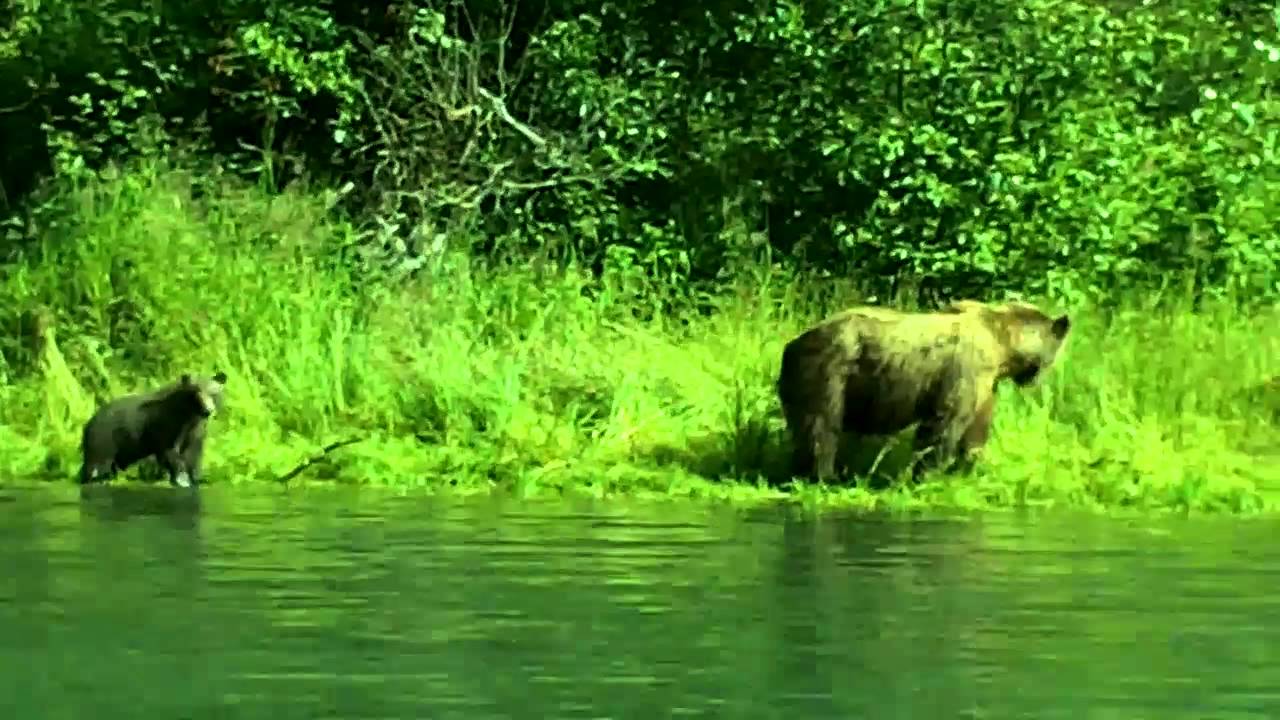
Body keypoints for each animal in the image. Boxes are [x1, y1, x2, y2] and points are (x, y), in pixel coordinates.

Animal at [78, 371, 228, 488]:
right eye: (196, 393)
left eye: (213, 393)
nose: (208, 410)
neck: (189, 416)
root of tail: (88, 424)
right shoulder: (166, 427)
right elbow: (170, 452)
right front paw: (181, 479)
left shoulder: (195, 431)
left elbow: (194, 454)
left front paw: (196, 478)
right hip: (104, 440)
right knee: (96, 466)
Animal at [776, 299, 1071, 483]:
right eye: (1054, 353)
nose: (1037, 380)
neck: (1003, 347)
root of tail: (791, 344)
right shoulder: (966, 369)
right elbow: (943, 424)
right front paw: (928, 474)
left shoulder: (987, 384)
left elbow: (977, 428)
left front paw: (969, 468)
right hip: (829, 372)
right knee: (821, 427)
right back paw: (823, 475)